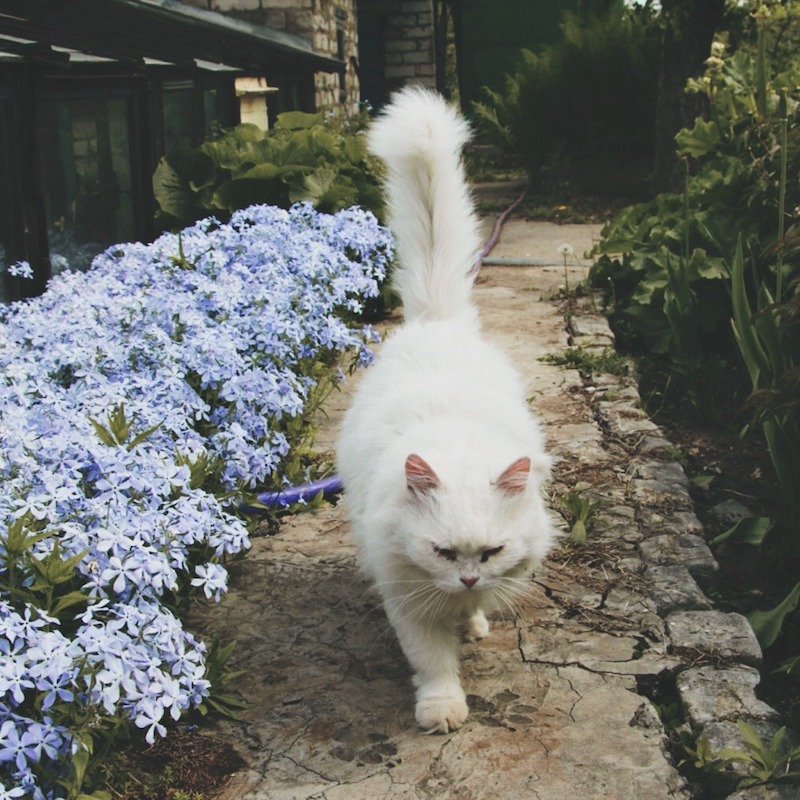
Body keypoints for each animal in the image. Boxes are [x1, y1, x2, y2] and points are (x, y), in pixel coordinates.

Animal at [334, 86, 552, 732]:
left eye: (491, 552)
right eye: (443, 553)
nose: (468, 576)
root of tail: (436, 324)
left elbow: (469, 615)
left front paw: (473, 621)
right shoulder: (409, 597)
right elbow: (432, 663)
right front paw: (442, 711)